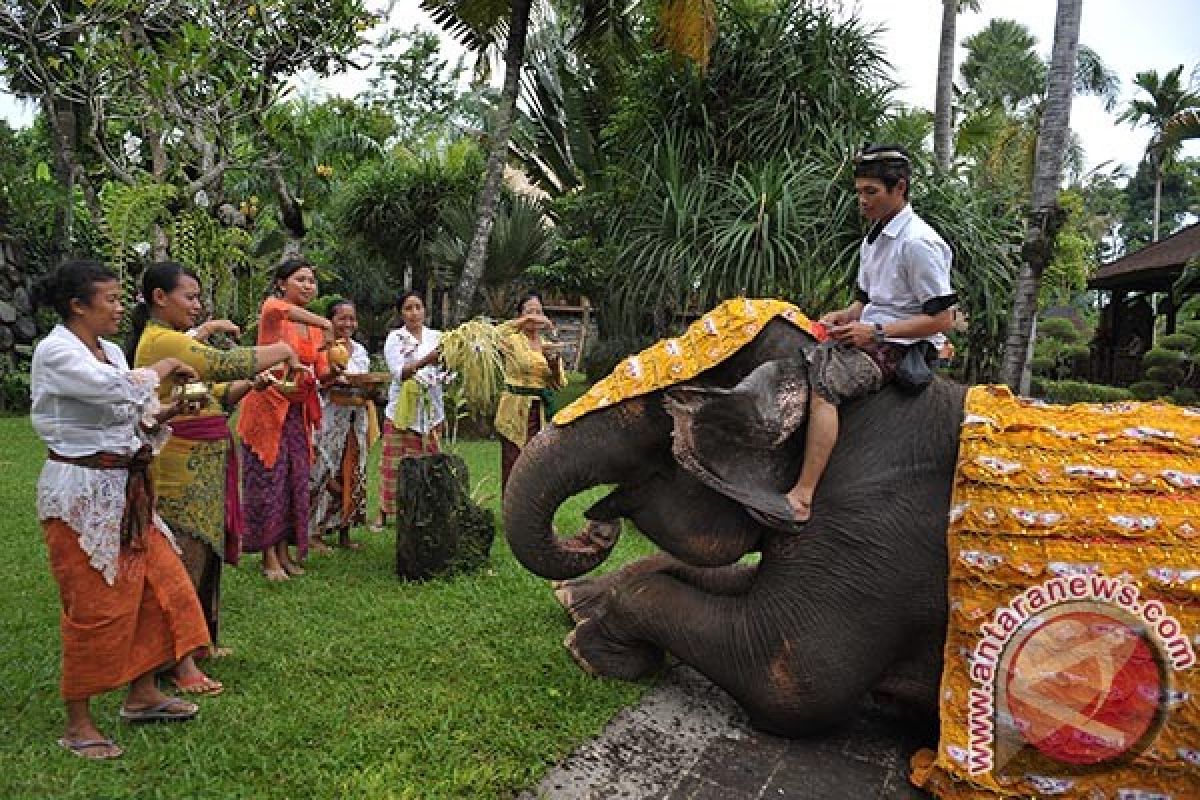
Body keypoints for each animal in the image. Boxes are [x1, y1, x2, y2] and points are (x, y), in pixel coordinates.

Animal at [501, 316, 969, 743]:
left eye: (657, 409)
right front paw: (575, 597)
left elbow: (794, 682)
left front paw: (591, 649)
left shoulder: (878, 531)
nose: (596, 528)